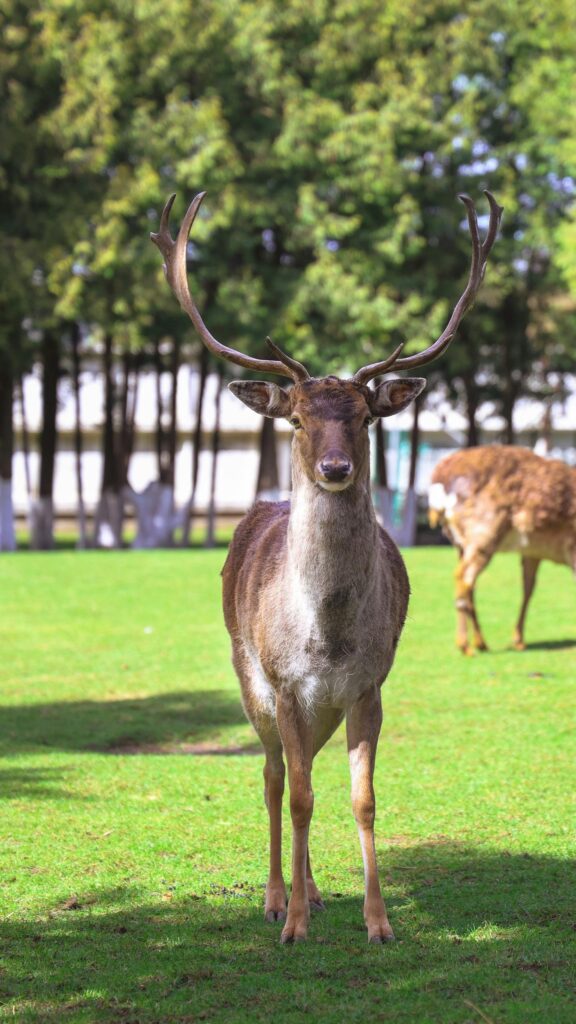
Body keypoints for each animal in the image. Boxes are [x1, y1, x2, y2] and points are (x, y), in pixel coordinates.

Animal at [151, 188, 502, 944]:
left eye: (365, 416)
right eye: (298, 419)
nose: (336, 467)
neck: (329, 634)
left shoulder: (368, 685)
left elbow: (360, 798)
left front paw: (379, 921)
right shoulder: (285, 683)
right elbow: (299, 796)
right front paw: (293, 925)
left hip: (323, 705)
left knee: (303, 767)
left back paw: (311, 892)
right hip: (249, 675)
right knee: (276, 777)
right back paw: (280, 898)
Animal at [429, 444, 576, 654]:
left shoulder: (532, 551)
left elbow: (528, 588)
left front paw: (519, 640)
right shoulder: (571, 547)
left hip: (459, 541)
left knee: (469, 583)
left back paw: (480, 642)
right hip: (484, 531)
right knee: (463, 578)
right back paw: (467, 645)